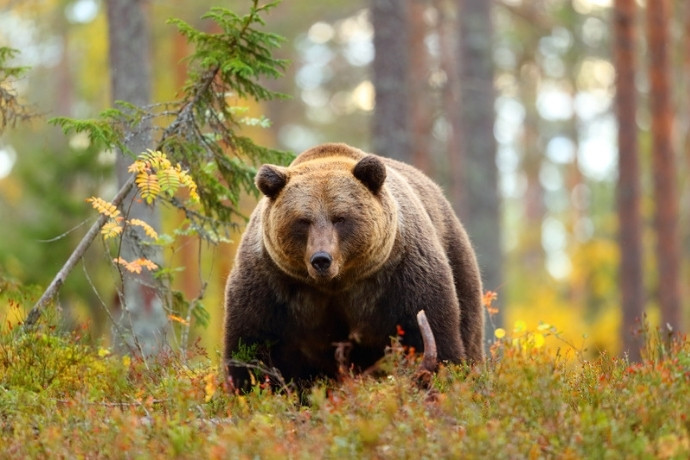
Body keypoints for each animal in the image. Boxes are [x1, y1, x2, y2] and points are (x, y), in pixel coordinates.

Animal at [223, 142, 484, 390]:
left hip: (458, 260)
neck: (336, 284)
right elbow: (249, 347)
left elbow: (433, 335)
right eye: (303, 220)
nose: (321, 259)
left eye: (340, 218)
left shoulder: (402, 276)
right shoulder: (271, 286)